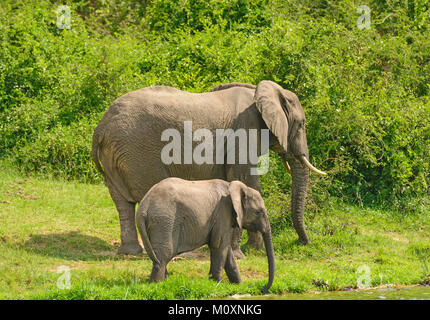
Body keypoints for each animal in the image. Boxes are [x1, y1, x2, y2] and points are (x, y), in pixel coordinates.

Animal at [91, 80, 326, 255]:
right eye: (302, 124)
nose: (303, 243)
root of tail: (101, 127)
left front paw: (250, 249)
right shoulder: (245, 130)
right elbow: (246, 180)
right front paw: (249, 250)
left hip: (115, 153)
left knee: (122, 203)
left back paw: (130, 252)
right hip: (138, 151)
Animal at [136, 176, 274, 294]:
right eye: (259, 212)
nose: (263, 290)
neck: (233, 187)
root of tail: (144, 205)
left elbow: (226, 250)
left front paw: (239, 285)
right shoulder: (222, 213)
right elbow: (219, 246)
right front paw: (216, 285)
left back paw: (163, 282)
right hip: (164, 220)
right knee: (163, 255)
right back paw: (157, 285)